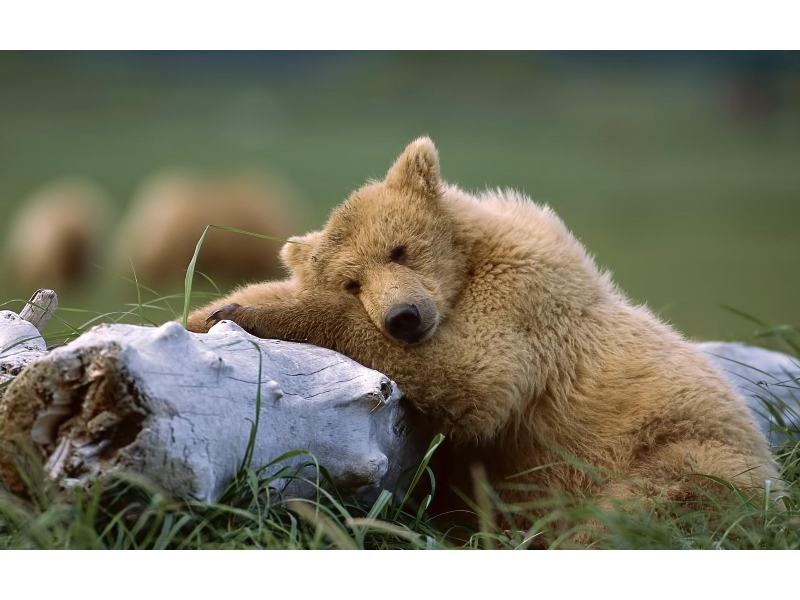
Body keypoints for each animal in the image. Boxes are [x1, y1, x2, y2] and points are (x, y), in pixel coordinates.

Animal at [184, 136, 780, 536]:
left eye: (399, 249)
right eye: (352, 281)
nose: (403, 317)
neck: (467, 267)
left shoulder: (524, 301)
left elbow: (473, 376)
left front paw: (254, 314)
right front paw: (210, 311)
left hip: (686, 448)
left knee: (646, 506)